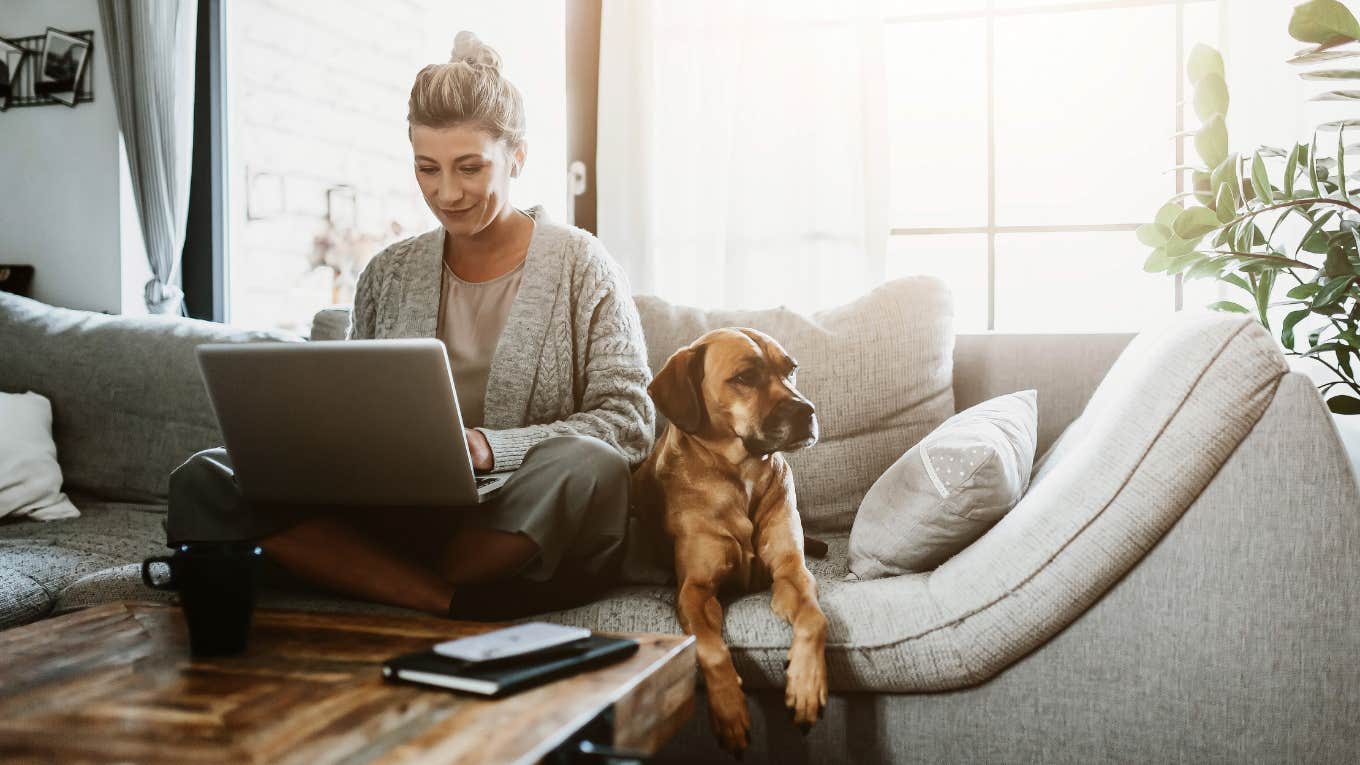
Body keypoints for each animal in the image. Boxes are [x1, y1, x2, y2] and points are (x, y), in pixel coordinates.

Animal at [633, 326, 826, 751]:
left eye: (791, 369)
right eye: (745, 377)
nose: (807, 411)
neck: (743, 475)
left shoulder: (792, 572)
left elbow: (814, 619)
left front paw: (805, 684)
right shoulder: (695, 591)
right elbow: (710, 650)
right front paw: (730, 710)